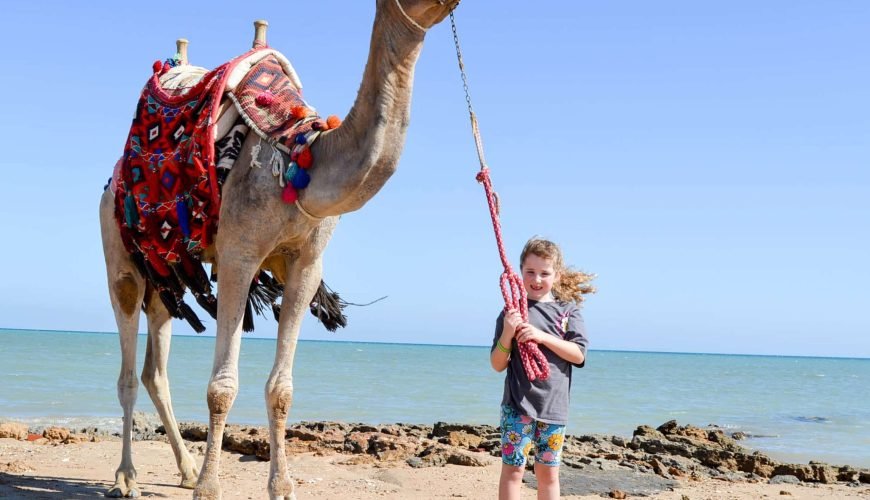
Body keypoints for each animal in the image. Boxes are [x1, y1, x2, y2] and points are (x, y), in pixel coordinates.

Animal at [98, 1, 460, 498]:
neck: (304, 157)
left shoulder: (306, 262)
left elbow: (281, 389)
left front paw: (281, 485)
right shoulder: (239, 254)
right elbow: (221, 387)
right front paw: (209, 487)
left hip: (167, 271)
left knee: (156, 366)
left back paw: (184, 469)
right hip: (121, 259)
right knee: (128, 372)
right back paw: (127, 477)